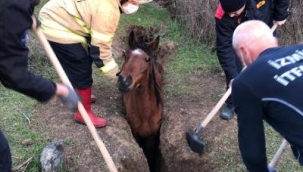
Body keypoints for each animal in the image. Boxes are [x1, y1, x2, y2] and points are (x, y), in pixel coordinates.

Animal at [117, 30, 164, 172]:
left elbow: (150, 154)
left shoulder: (153, 136)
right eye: (125, 54)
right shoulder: (136, 134)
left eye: (147, 59)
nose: (124, 81)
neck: (145, 115)